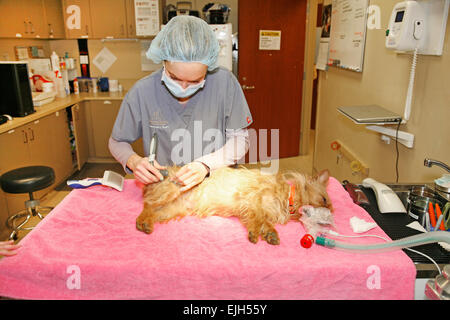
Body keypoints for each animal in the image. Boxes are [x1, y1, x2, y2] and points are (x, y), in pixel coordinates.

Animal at [135, 165, 332, 245]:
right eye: (324, 200)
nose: (329, 221)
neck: (287, 197)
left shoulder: (255, 209)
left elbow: (264, 223)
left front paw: (269, 234)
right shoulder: (252, 200)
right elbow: (257, 220)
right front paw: (255, 234)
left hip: (171, 209)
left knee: (152, 210)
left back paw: (147, 223)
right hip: (170, 191)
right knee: (147, 205)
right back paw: (141, 221)